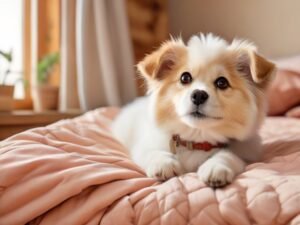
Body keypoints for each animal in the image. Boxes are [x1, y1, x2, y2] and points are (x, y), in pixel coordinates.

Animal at [111, 33, 276, 188]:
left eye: (222, 82)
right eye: (185, 78)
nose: (198, 95)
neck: (196, 139)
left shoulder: (248, 153)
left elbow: (228, 155)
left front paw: (215, 166)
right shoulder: (143, 146)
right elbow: (152, 152)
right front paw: (164, 163)